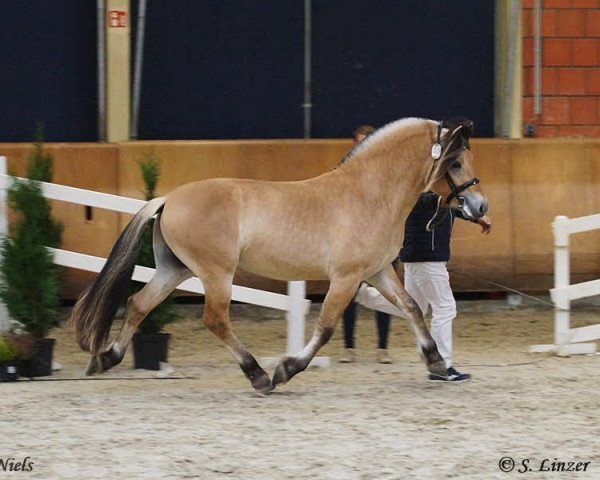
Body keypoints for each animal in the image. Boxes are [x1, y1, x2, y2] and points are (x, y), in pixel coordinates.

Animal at [70, 117, 488, 394]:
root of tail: (169, 198)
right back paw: (258, 374)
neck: (367, 194)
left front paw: (436, 362)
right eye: (454, 162)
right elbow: (326, 327)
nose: (479, 206)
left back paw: (106, 357)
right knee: (214, 319)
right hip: (215, 273)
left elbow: (413, 308)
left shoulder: (379, 271)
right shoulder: (347, 277)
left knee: (139, 304)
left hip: (175, 270)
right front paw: (287, 369)